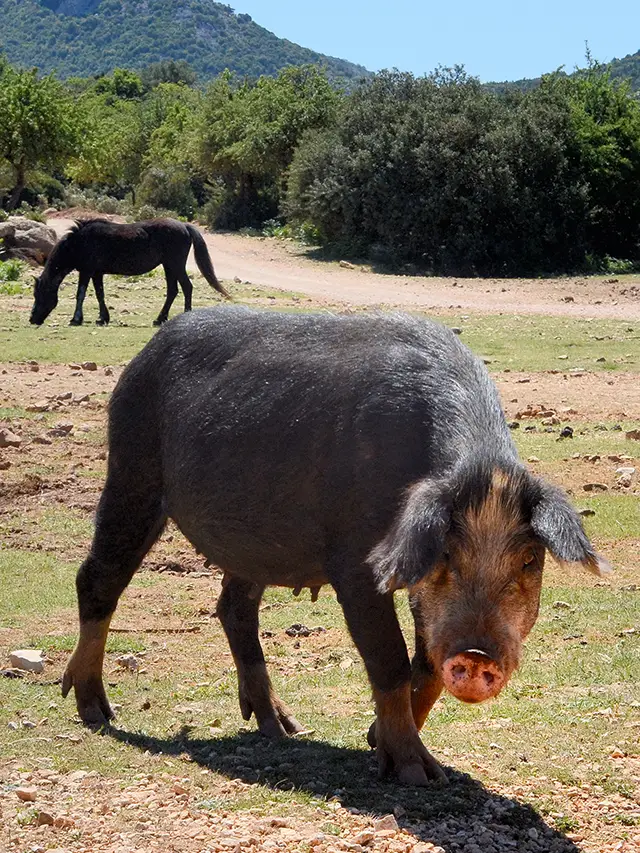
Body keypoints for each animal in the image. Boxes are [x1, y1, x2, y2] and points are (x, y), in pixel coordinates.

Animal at [30, 218, 230, 328]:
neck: (78, 243)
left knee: (186, 287)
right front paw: (103, 318)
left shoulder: (86, 272)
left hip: (175, 265)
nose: (32, 319)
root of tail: (184, 226)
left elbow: (81, 294)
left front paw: (76, 319)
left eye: (39, 295)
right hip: (169, 267)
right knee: (173, 291)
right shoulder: (97, 273)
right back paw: (160, 319)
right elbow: (100, 294)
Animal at [62, 308, 608, 784]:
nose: (475, 655)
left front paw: (377, 743)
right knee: (97, 578)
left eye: (529, 559)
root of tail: (144, 355)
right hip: (132, 467)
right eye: (448, 555)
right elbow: (389, 658)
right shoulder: (356, 561)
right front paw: (417, 775)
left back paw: (283, 729)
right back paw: (97, 712)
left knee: (233, 607)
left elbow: (427, 666)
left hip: (251, 541)